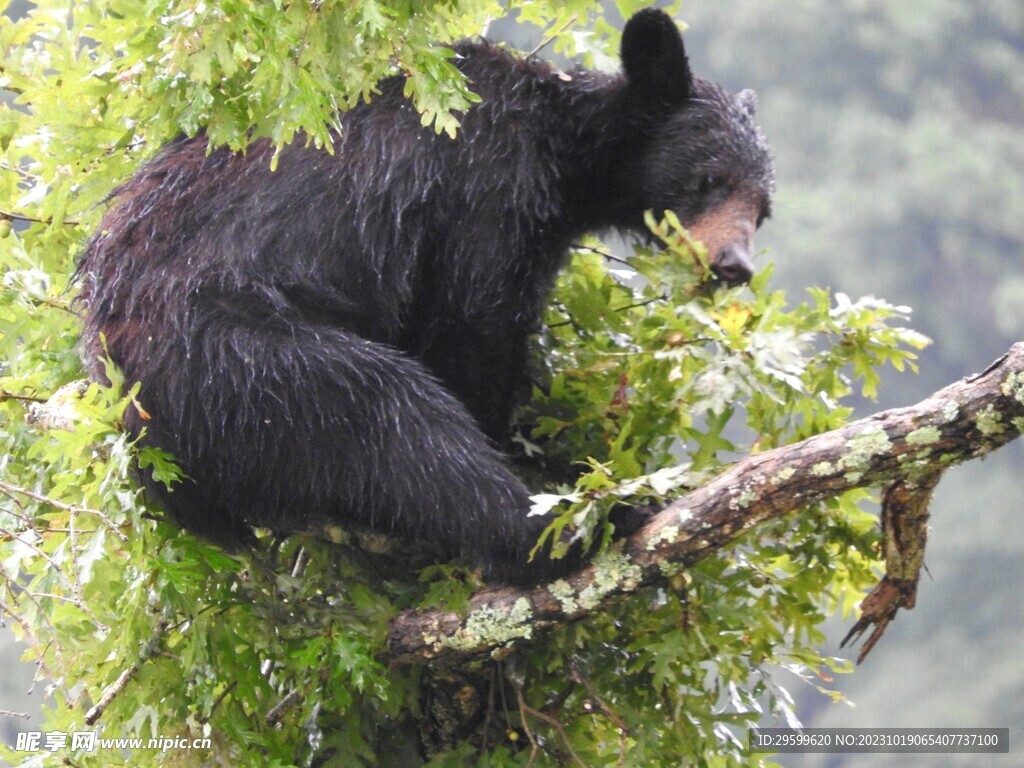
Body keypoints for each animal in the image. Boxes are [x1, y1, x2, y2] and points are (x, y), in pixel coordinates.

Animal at [77, 9, 770, 585]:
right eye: (711, 179)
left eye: (762, 209)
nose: (734, 265)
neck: (566, 151)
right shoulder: (488, 184)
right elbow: (470, 329)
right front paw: (535, 457)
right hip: (228, 353)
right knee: (389, 416)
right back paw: (558, 530)